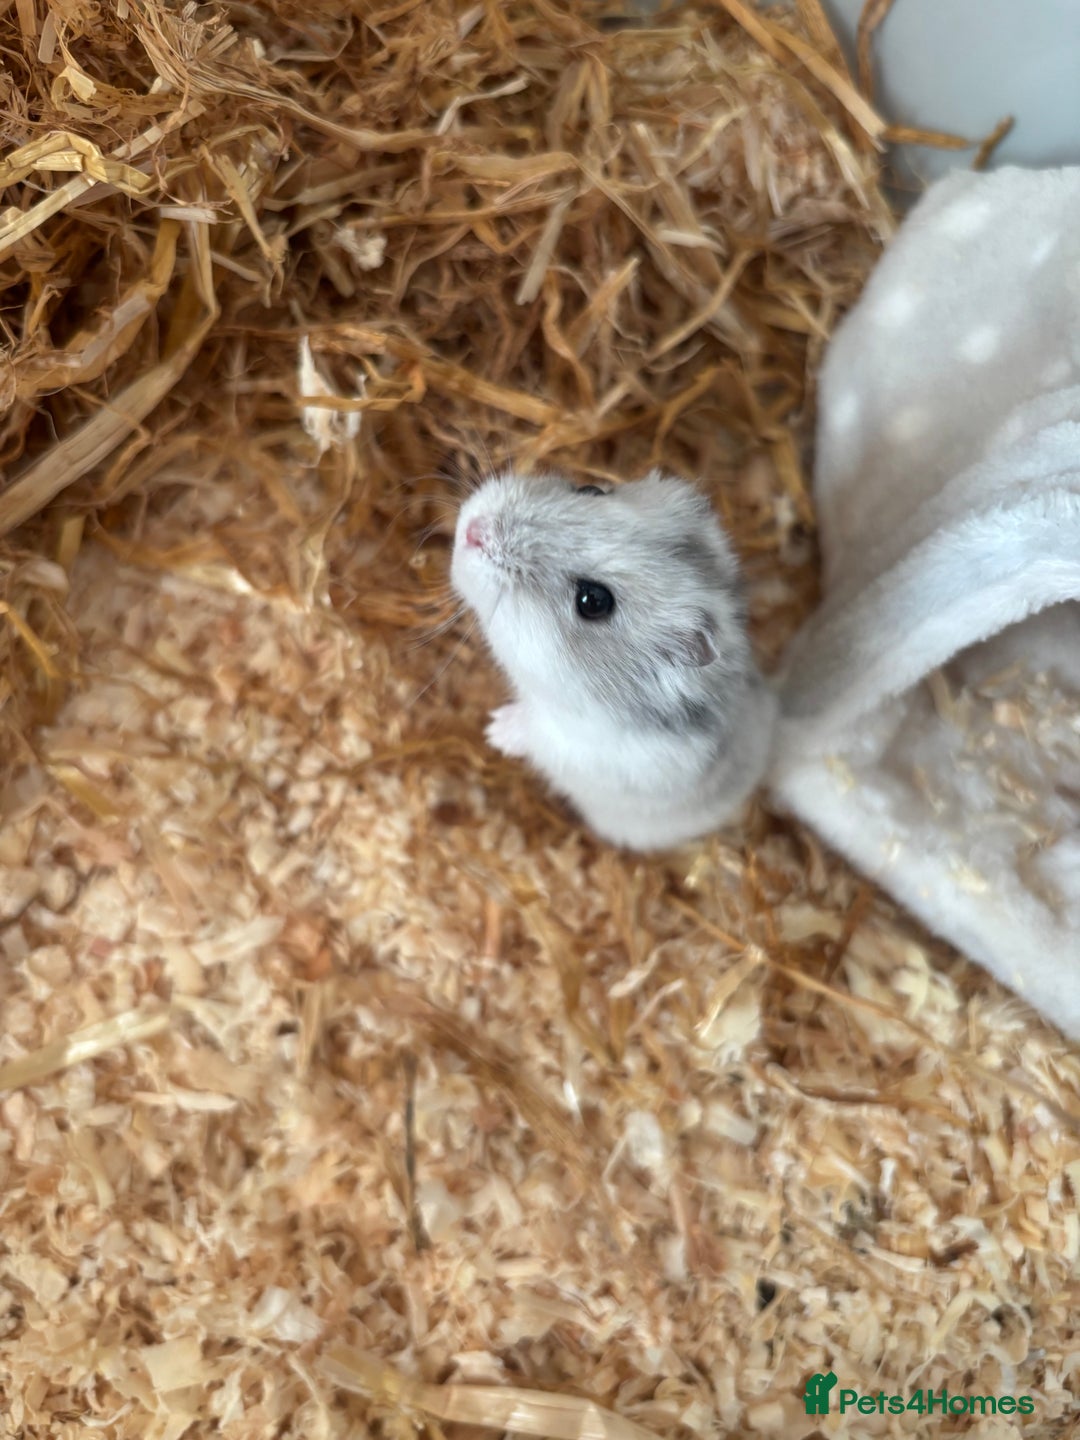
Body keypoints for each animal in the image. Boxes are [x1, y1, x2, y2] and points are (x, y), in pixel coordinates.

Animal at [450, 469, 778, 851]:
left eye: (593, 600)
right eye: (590, 489)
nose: (472, 530)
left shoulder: (564, 743)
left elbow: (530, 731)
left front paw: (494, 730)